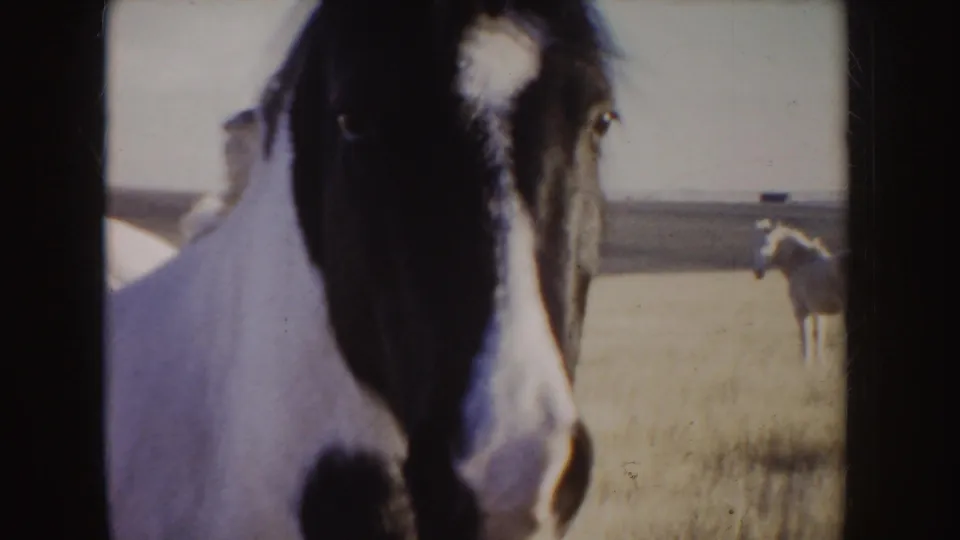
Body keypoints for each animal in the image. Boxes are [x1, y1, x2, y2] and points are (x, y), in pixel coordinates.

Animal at [752, 219, 846, 364]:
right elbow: (819, 339)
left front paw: (806, 365)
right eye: (755, 244)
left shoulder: (801, 310)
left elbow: (806, 341)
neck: (800, 263)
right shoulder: (818, 312)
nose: (757, 272)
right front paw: (820, 364)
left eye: (767, 242)